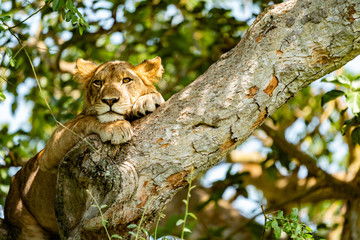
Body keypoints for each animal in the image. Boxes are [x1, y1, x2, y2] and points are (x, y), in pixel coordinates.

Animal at [3, 56, 165, 240]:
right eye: (98, 82)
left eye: (126, 80)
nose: (109, 101)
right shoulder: (49, 151)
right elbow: (86, 120)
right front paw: (114, 127)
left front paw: (148, 100)